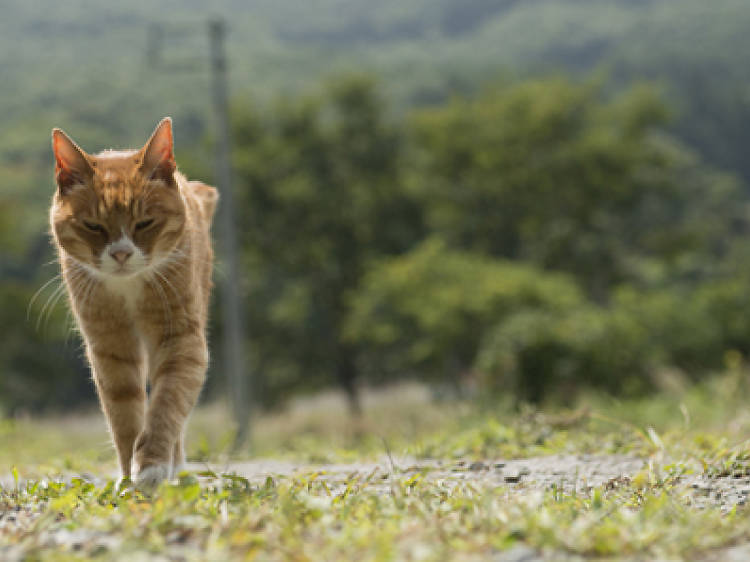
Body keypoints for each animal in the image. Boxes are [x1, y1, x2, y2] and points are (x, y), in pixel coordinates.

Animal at [50, 117, 217, 486]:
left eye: (144, 223)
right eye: (93, 226)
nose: (121, 253)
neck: (128, 288)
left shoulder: (180, 339)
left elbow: (167, 403)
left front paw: (152, 466)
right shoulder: (110, 347)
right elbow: (124, 412)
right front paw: (129, 478)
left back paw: (175, 467)